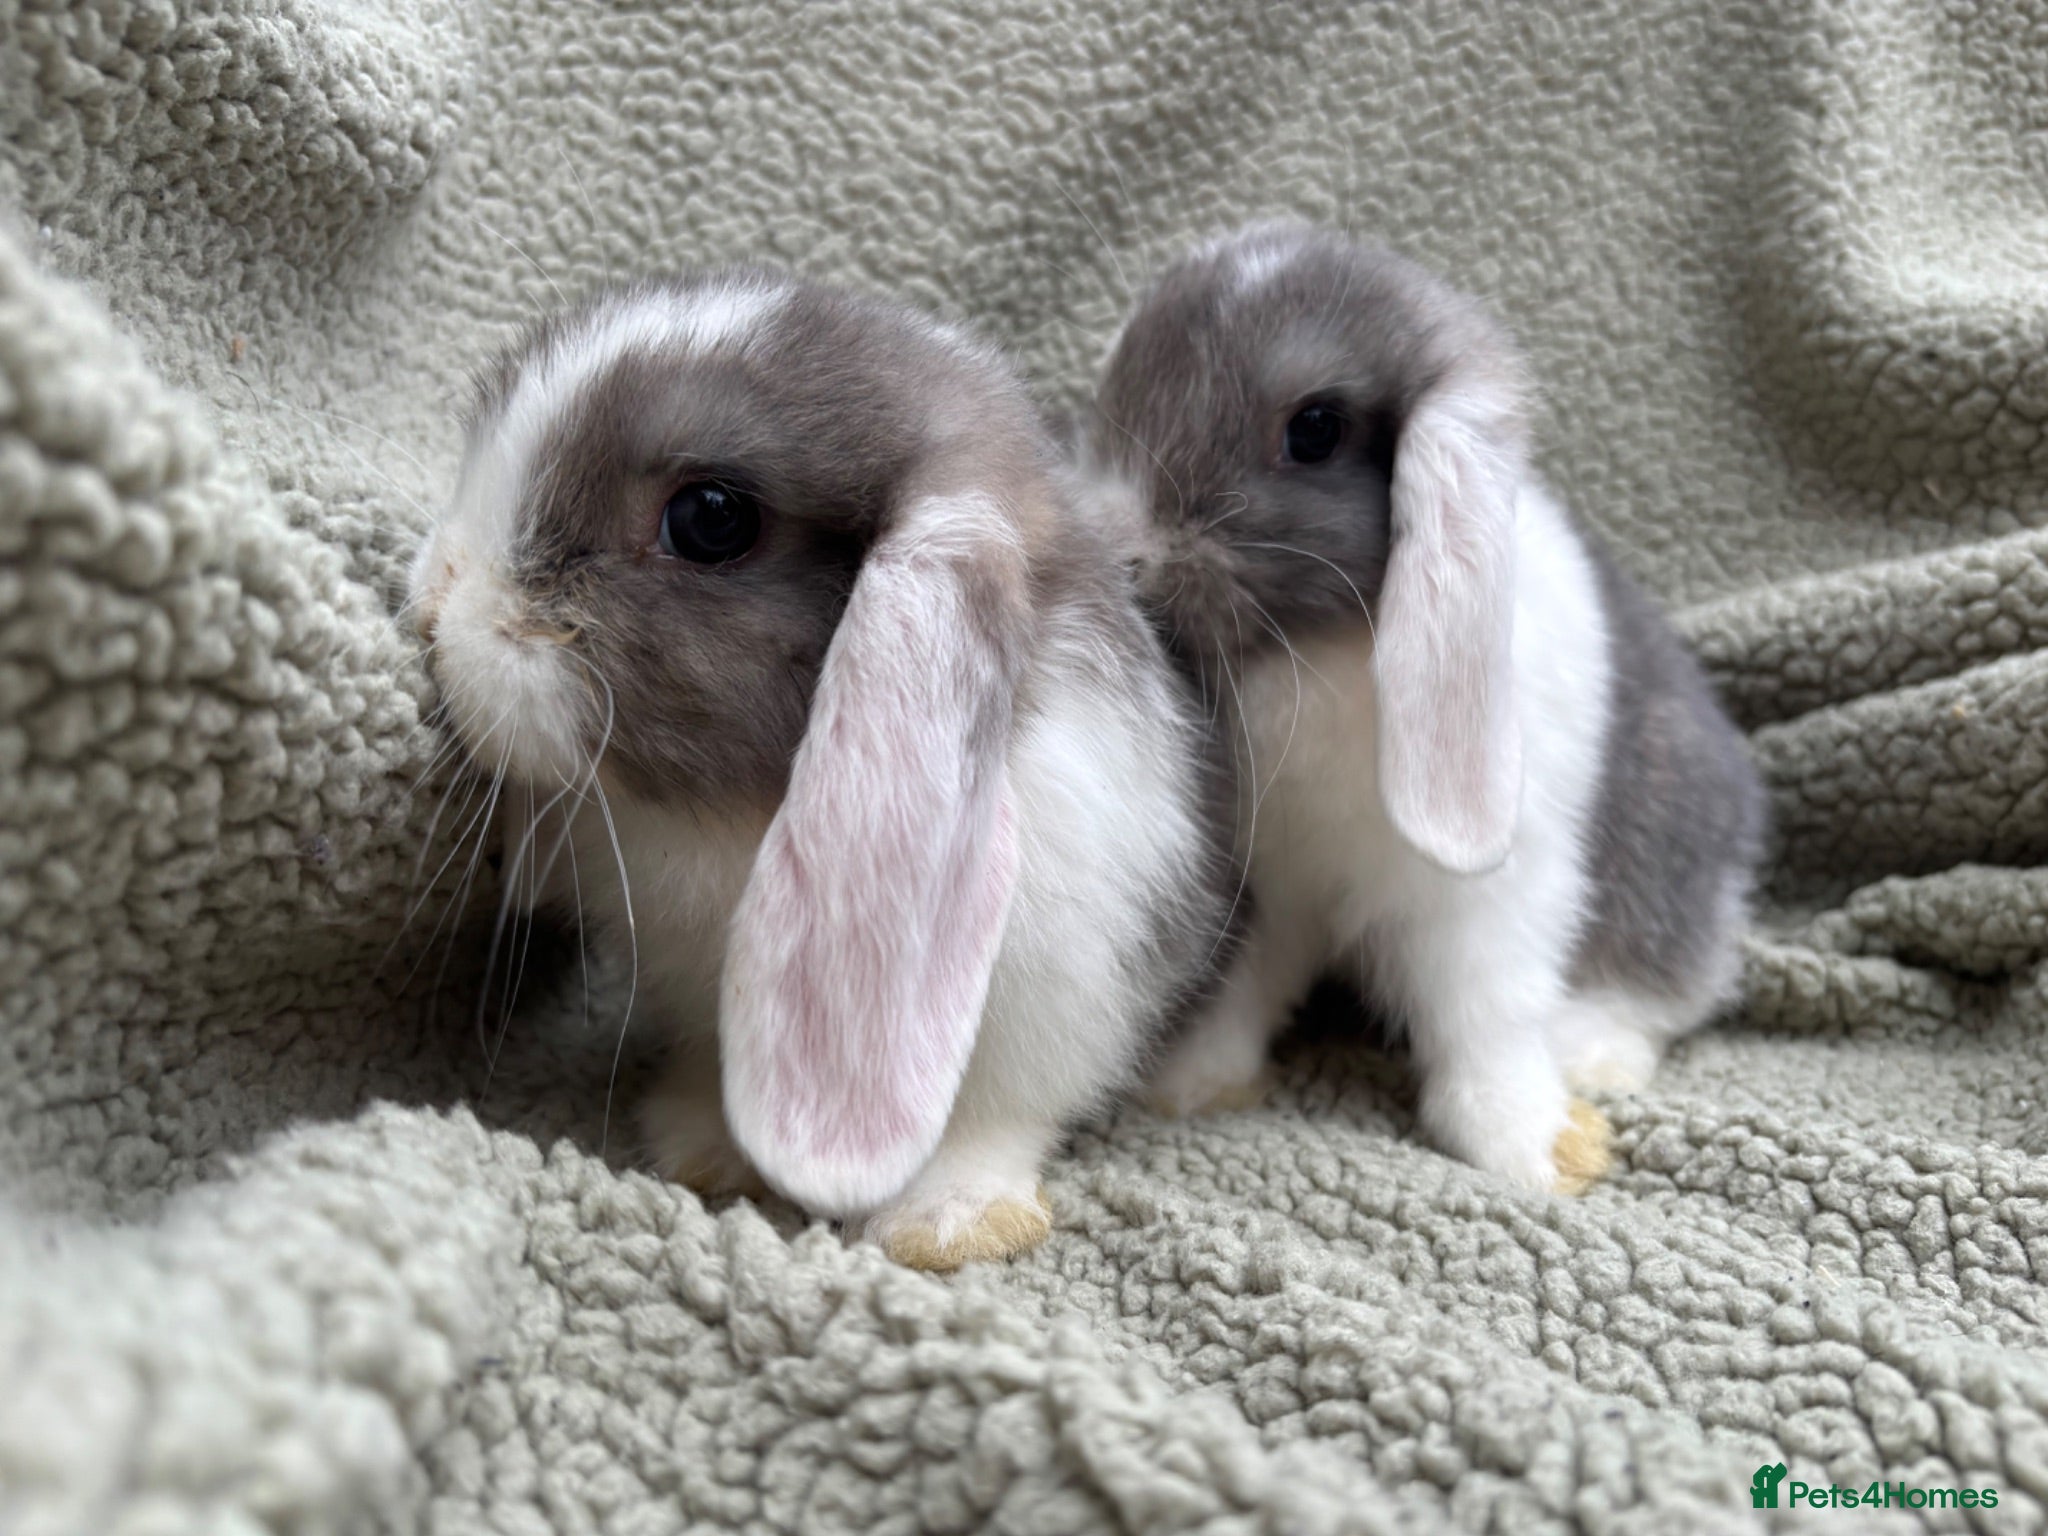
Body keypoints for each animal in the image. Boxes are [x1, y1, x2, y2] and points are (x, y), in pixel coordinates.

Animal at [408, 271, 1232, 1268]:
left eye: (710, 518)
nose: (434, 599)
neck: (734, 822)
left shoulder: (1068, 986)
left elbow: (999, 1115)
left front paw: (951, 1222)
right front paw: (700, 1145)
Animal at [1075, 223, 1766, 1192]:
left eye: (1315, 430)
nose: (1126, 555)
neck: (1323, 648)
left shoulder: (1489, 904)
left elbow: (1486, 1019)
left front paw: (1530, 1148)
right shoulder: (1269, 890)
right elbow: (1241, 995)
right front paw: (1191, 1087)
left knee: (1666, 987)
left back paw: (1593, 1056)